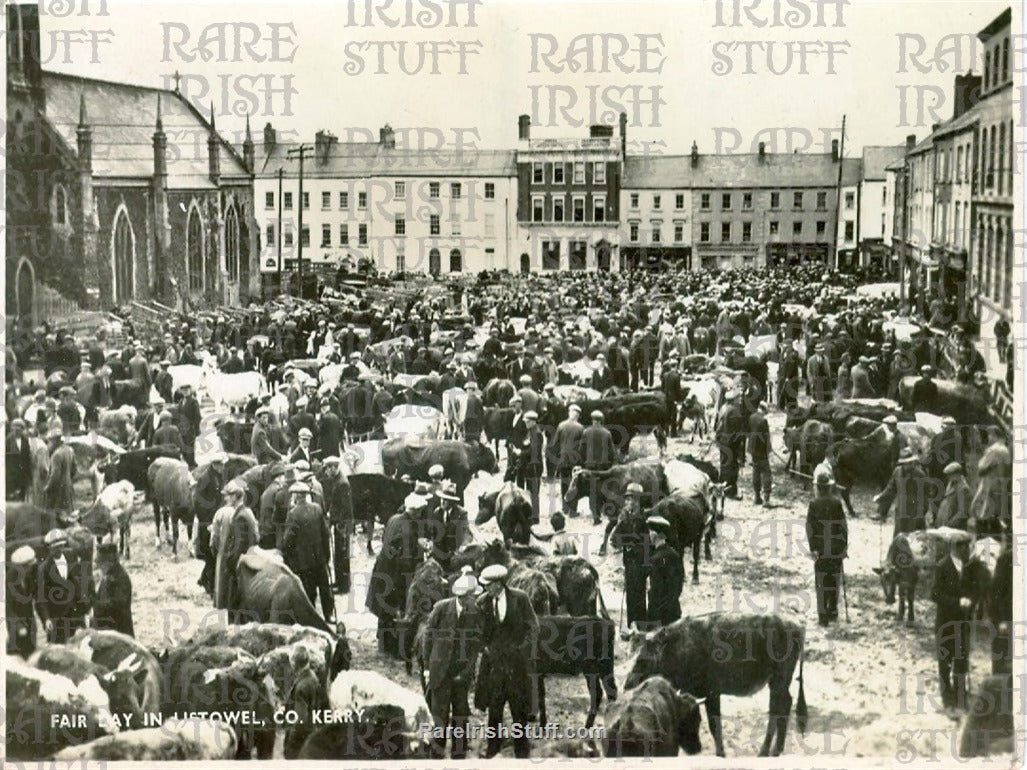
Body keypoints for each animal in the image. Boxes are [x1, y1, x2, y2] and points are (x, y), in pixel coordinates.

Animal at [624, 616, 809, 759]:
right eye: (629, 654)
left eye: (642, 659)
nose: (627, 684)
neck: (680, 648)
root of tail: (797, 627)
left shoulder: (711, 693)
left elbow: (715, 726)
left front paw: (721, 754)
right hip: (777, 682)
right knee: (785, 705)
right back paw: (777, 749)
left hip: (780, 679)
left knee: (778, 709)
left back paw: (766, 751)